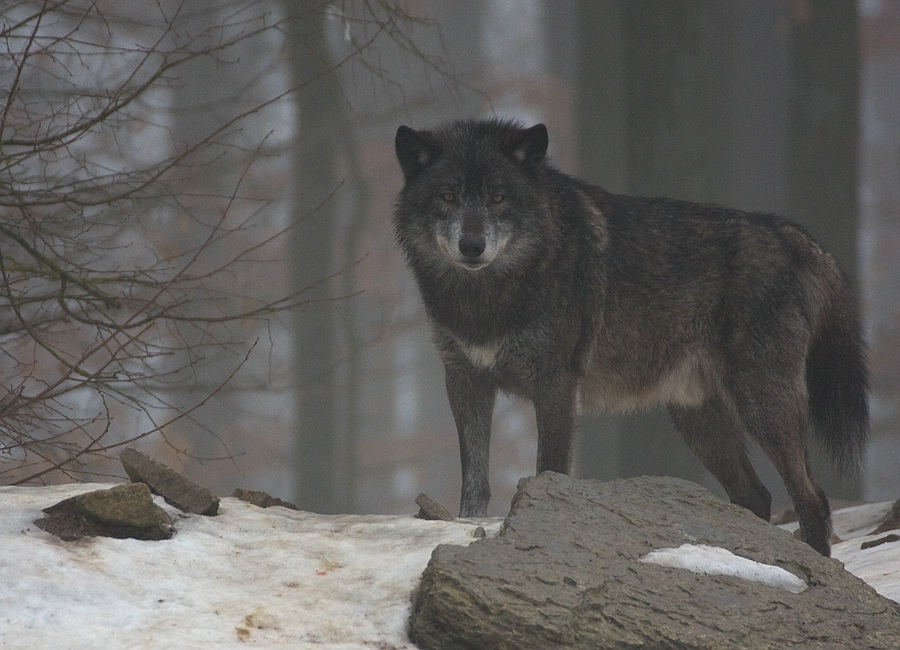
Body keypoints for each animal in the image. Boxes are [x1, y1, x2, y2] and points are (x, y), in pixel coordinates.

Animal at [390, 117, 868, 556]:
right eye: (448, 196)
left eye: (498, 198)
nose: (472, 246)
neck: (488, 298)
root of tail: (787, 233)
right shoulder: (465, 381)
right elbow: (474, 482)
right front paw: (463, 525)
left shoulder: (556, 384)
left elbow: (549, 469)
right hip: (699, 419)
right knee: (757, 495)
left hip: (761, 404)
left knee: (812, 497)